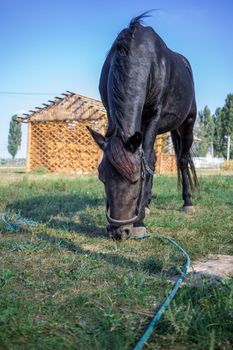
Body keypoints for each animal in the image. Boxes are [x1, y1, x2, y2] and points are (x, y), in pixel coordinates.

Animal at [88, 12, 198, 239]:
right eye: (102, 177)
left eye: (136, 180)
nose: (119, 232)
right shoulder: (112, 113)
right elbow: (148, 161)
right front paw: (143, 209)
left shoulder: (153, 117)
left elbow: (146, 160)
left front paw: (139, 223)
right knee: (154, 159)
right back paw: (146, 205)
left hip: (187, 124)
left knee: (182, 160)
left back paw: (187, 202)